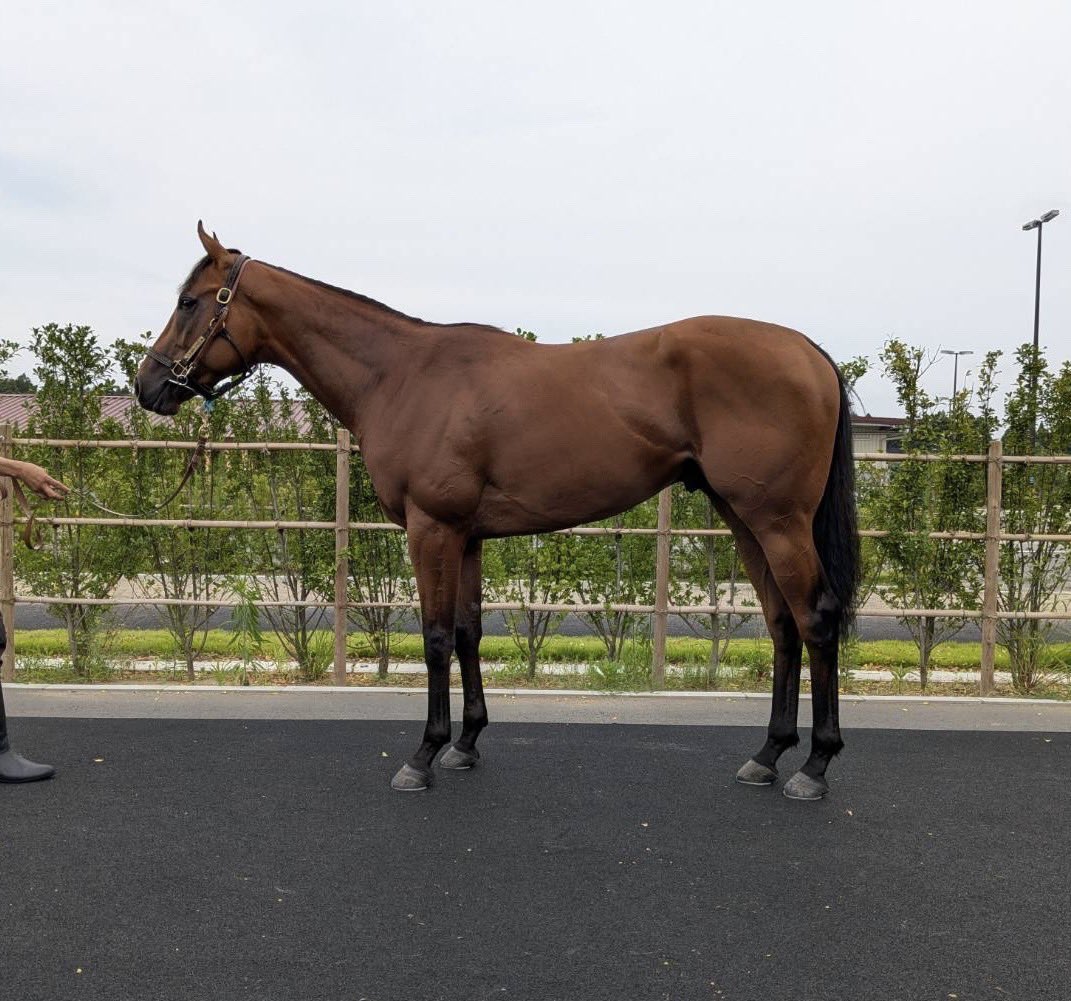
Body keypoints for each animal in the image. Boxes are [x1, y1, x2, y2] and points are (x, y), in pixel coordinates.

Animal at [135, 223, 859, 801]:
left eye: (190, 301)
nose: (148, 386)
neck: (399, 376)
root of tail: (809, 351)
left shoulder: (432, 529)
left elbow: (432, 639)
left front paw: (423, 755)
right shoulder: (469, 537)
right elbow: (466, 633)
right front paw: (465, 744)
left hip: (777, 521)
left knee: (815, 619)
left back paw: (815, 766)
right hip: (744, 519)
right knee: (782, 626)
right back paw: (767, 755)